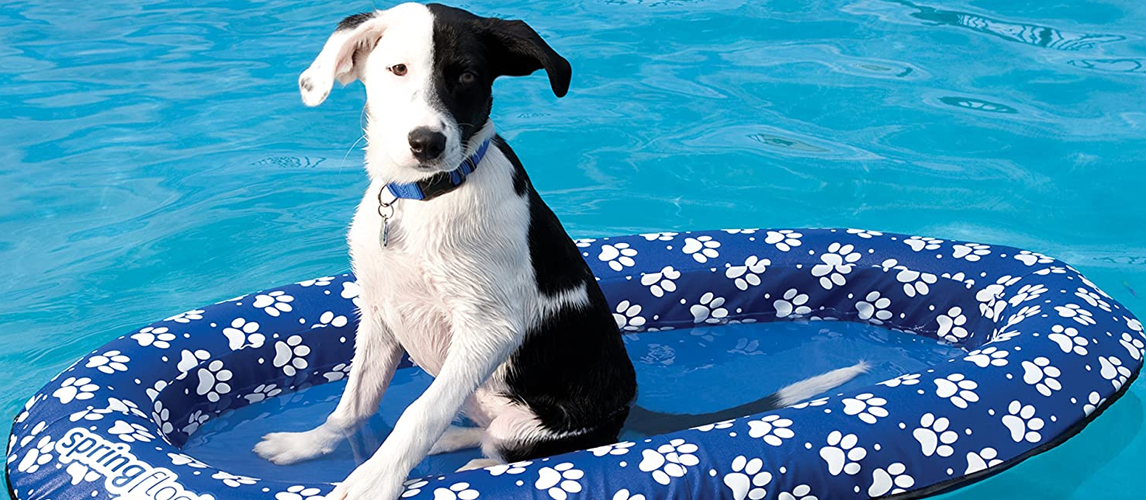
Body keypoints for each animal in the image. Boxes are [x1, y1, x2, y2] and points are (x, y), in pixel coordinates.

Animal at [248, 4, 861, 499]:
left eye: (466, 77)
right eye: (396, 70)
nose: (427, 144)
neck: (427, 197)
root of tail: (625, 408)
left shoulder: (487, 330)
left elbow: (417, 414)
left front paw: (371, 480)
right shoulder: (379, 313)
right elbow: (355, 404)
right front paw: (309, 444)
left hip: (526, 423)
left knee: (502, 450)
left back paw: (468, 463)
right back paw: (455, 439)